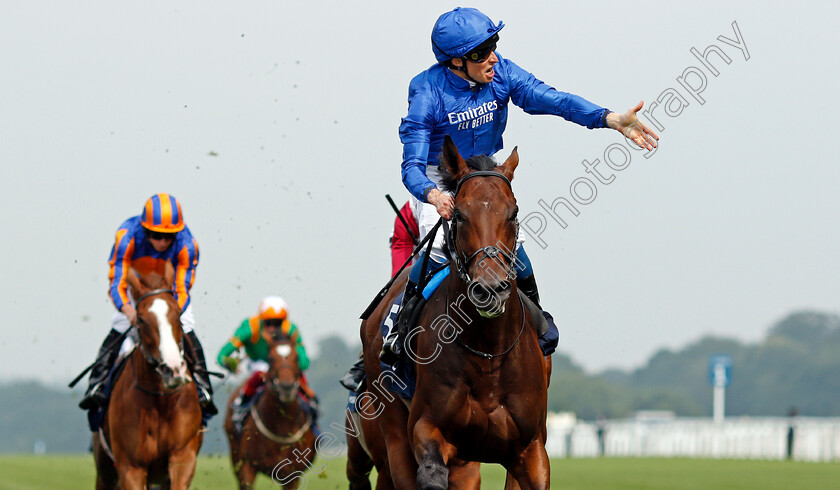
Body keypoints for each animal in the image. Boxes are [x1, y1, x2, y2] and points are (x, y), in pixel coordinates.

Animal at [93, 266, 203, 488]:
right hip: (105, 469)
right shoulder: (130, 467)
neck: (160, 402)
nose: (173, 369)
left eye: (178, 314)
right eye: (142, 320)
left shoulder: (183, 456)